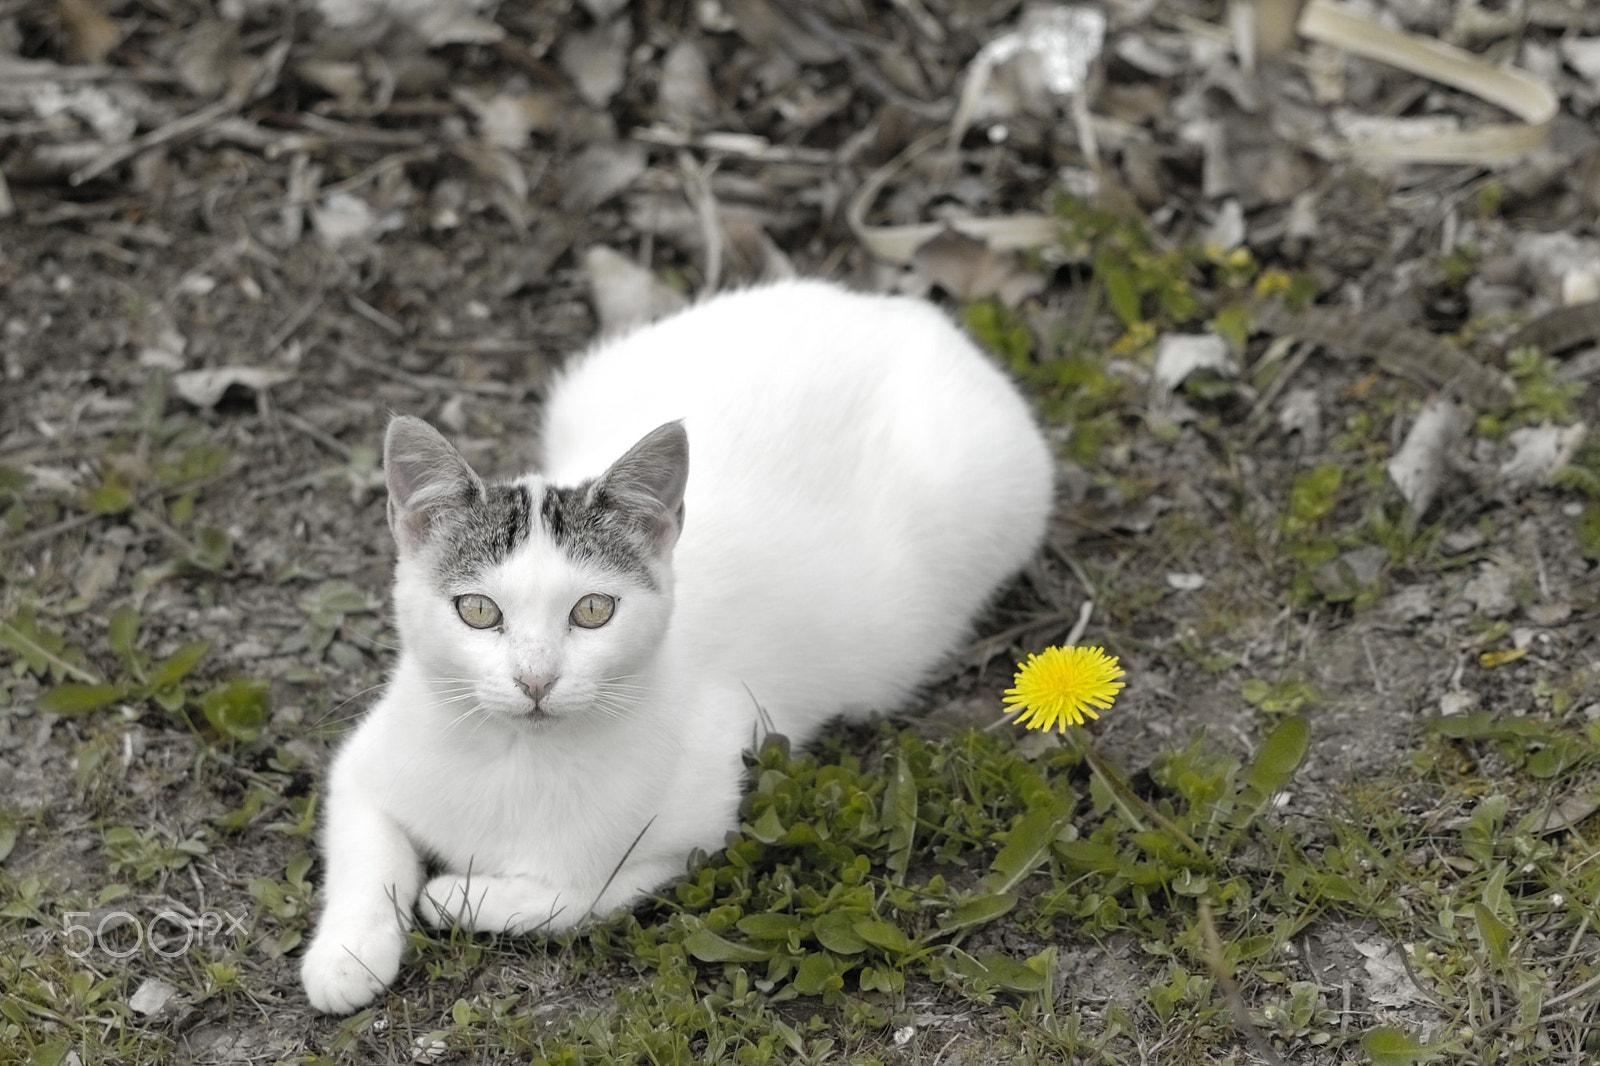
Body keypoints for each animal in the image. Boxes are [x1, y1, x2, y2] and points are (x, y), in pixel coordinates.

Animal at [300, 278, 1056, 1011]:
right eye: (479, 611)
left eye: (594, 610)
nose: (535, 680)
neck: (520, 760)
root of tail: (909, 313)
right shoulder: (363, 767)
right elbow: (366, 850)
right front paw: (348, 955)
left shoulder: (701, 826)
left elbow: (583, 891)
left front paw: (463, 893)